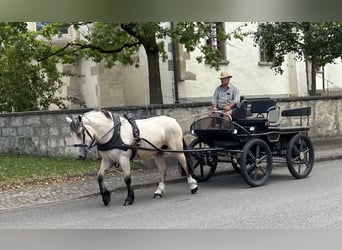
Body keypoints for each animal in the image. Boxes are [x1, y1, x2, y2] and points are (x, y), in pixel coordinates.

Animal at [65, 110, 198, 206]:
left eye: (80, 132)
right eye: (72, 134)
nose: (80, 156)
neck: (113, 133)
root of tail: (173, 120)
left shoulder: (124, 159)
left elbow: (127, 179)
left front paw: (129, 198)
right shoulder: (107, 161)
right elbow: (99, 177)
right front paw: (106, 197)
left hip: (176, 148)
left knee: (185, 164)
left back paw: (193, 186)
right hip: (157, 152)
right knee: (163, 171)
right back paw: (159, 191)